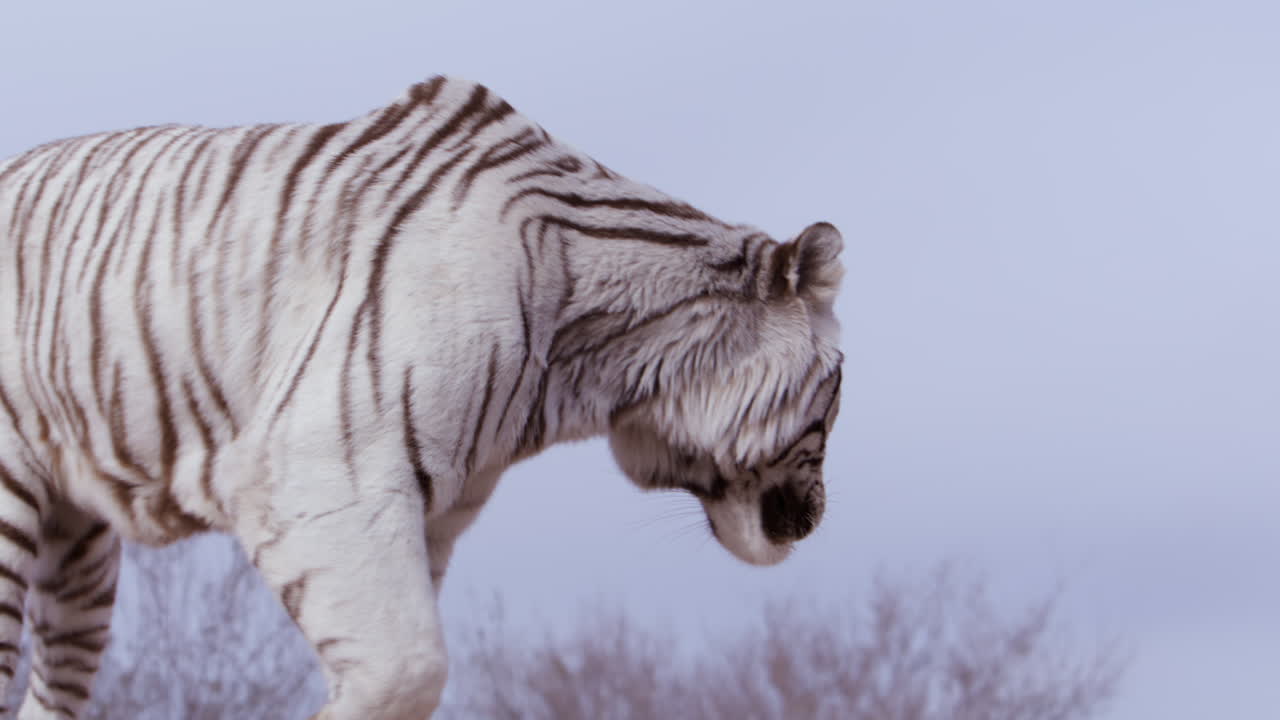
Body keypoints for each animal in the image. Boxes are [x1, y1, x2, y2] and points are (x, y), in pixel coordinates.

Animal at [0, 75, 844, 719]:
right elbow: (407, 668)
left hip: (79, 550)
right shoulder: (322, 479)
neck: (584, 370)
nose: (815, 518)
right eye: (834, 398)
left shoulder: (423, 523)